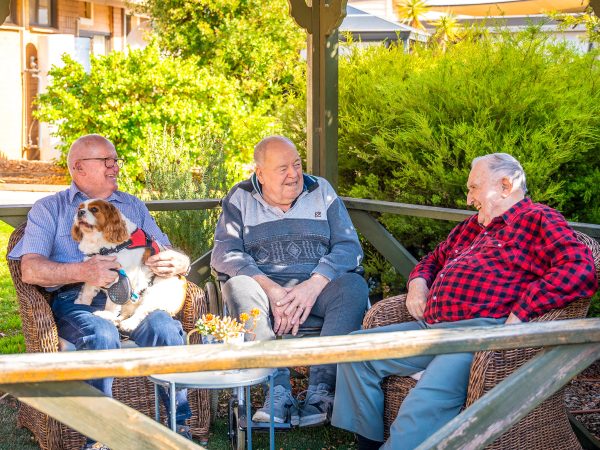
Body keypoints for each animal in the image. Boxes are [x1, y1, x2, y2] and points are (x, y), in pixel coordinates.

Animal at [72, 199, 186, 332]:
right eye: (79, 208)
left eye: (94, 209)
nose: (80, 212)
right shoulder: (94, 271)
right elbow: (88, 292)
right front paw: (82, 304)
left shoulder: (121, 278)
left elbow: (112, 302)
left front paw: (107, 313)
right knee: (125, 313)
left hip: (152, 293)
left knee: (141, 312)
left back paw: (127, 323)